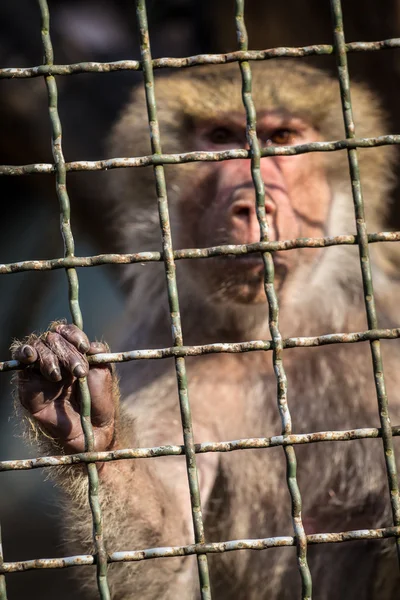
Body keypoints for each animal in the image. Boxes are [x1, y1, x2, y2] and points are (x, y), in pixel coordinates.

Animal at [10, 62, 400, 600]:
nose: (252, 205)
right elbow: (167, 554)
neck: (267, 332)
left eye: (281, 138)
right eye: (219, 138)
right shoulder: (160, 350)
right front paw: (83, 417)